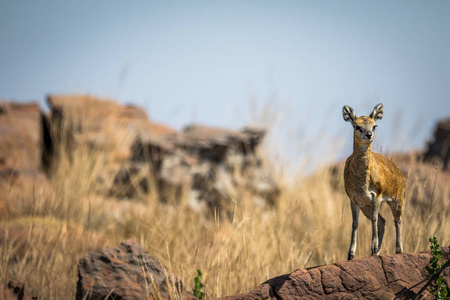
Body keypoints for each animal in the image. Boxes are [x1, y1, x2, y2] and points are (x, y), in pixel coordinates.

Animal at [342, 103, 406, 260]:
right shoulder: (354, 199)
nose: (369, 134)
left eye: (374, 125)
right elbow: (355, 223)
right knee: (383, 221)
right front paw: (351, 254)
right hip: (366, 206)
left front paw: (373, 246)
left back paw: (398, 249)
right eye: (357, 126)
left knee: (397, 220)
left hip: (397, 200)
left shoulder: (377, 195)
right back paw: (375, 252)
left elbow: (374, 219)